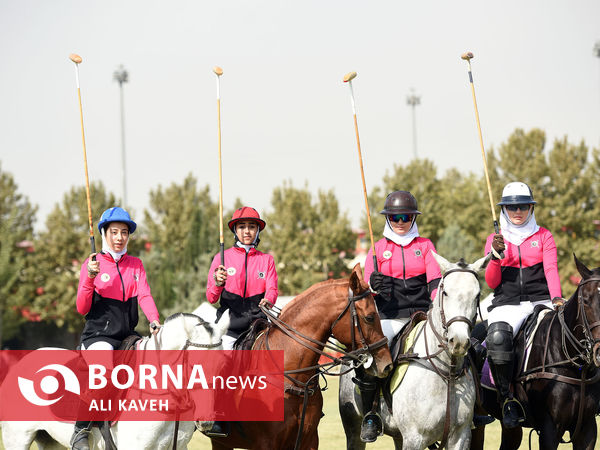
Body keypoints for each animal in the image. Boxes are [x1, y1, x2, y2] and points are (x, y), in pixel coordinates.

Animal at [340, 253, 490, 450]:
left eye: (477, 295)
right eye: (445, 292)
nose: (458, 341)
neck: (446, 372)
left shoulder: (460, 436)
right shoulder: (414, 437)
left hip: (398, 434)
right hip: (353, 427)